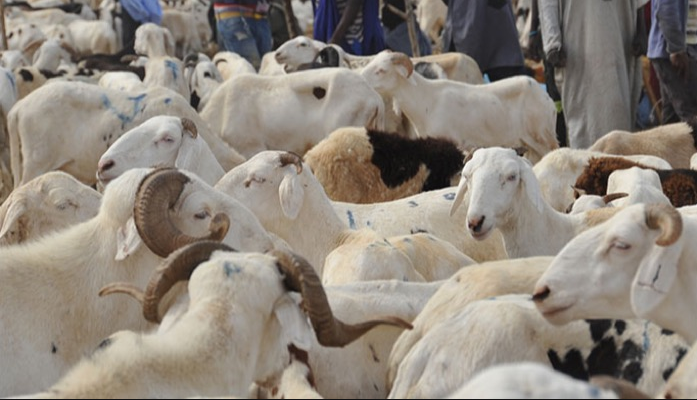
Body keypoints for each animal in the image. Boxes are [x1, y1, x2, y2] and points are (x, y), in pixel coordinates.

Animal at [360, 51, 557, 165]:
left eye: (381, 70)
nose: (360, 79)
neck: (426, 100)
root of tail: (546, 98)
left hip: (543, 137)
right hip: (530, 144)